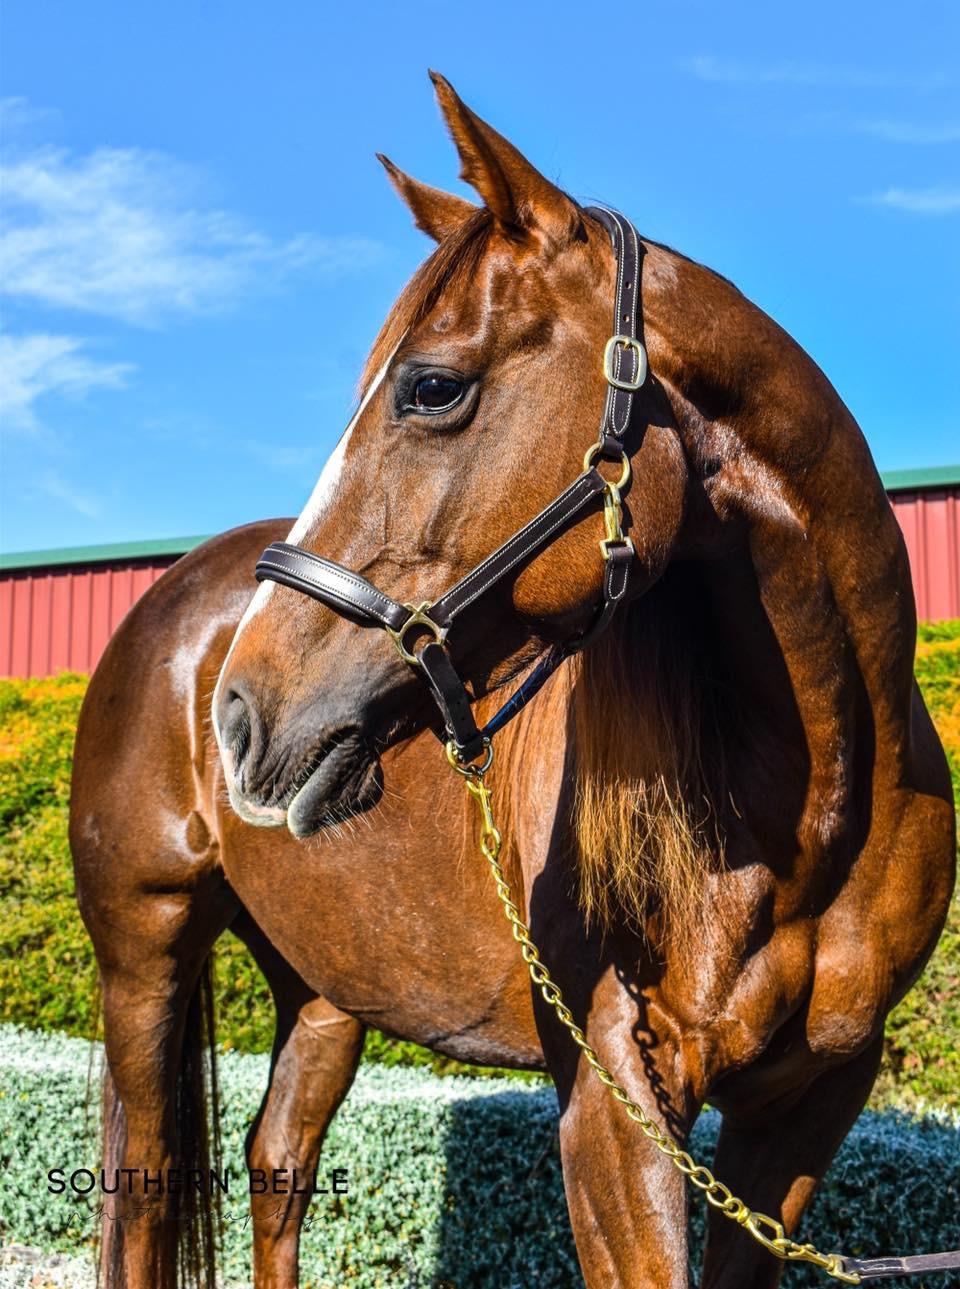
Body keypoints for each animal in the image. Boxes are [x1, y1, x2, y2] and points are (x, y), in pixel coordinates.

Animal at [70, 72, 956, 1289]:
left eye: (432, 387)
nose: (242, 715)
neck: (815, 809)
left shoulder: (809, 1101)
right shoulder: (615, 1093)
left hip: (326, 991)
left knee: (278, 1160)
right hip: (144, 957)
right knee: (147, 1194)